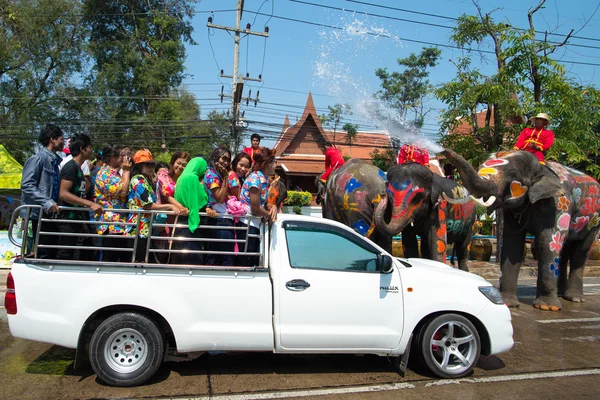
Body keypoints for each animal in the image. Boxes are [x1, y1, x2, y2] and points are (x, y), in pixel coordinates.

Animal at [442, 148, 600, 310]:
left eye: (512, 174)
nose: (443, 151)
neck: (542, 167)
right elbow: (512, 244)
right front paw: (508, 303)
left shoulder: (559, 204)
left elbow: (546, 243)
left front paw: (547, 307)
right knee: (565, 250)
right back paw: (561, 294)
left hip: (594, 221)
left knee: (581, 250)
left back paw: (574, 298)